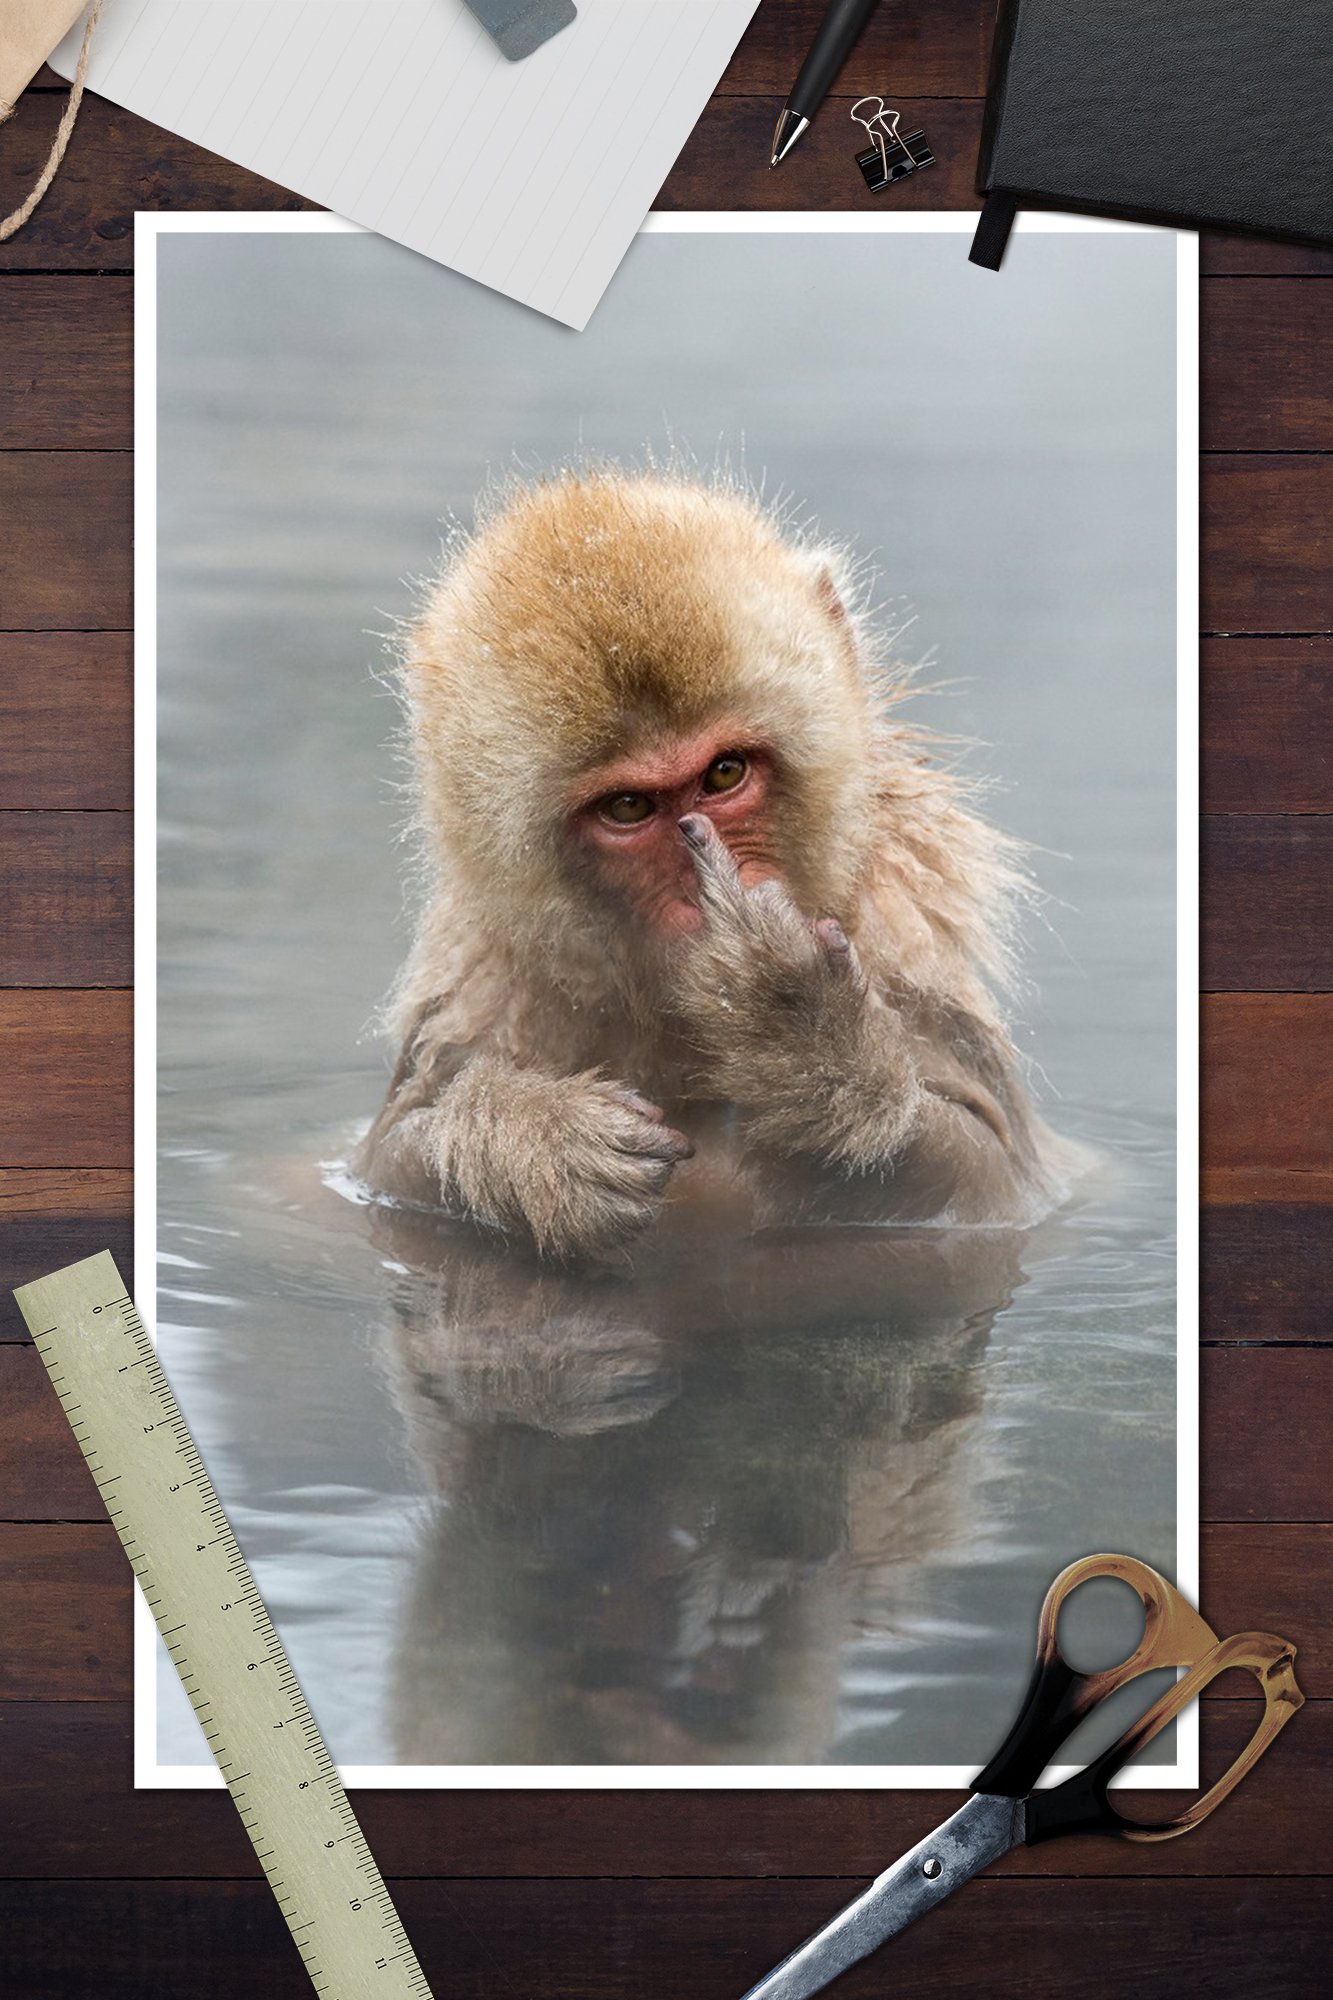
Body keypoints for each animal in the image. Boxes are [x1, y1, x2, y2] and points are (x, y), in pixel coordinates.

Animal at [357, 469, 1084, 1262]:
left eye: (725, 773)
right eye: (627, 809)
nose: (700, 892)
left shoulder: (905, 946)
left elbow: (995, 1178)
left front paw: (798, 1028)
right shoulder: (482, 989)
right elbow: (384, 1162)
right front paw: (531, 1136)